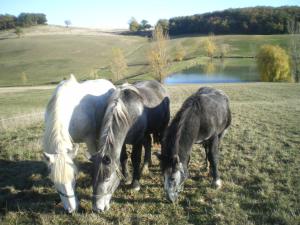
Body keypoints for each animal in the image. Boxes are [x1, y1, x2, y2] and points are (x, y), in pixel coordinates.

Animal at [90, 80, 170, 211]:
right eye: (93, 177)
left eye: (107, 179)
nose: (97, 208)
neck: (128, 112)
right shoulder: (122, 142)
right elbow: (123, 158)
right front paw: (126, 178)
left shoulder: (137, 140)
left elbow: (135, 159)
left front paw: (135, 184)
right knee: (148, 144)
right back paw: (145, 167)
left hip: (162, 127)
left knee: (162, 142)